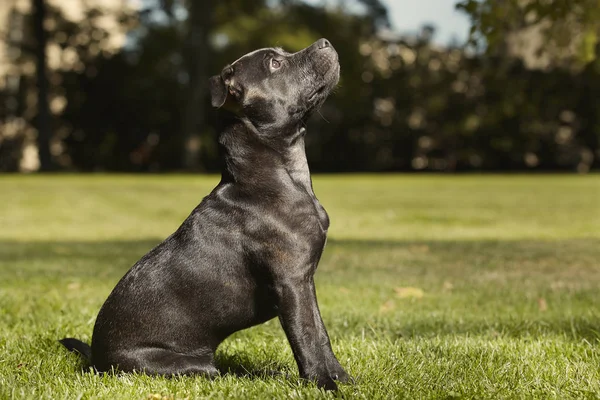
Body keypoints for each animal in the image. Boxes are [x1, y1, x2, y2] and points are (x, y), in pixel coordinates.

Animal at [58, 38, 350, 390]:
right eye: (274, 64)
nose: (324, 42)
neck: (282, 177)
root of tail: (96, 359)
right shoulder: (291, 283)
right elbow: (306, 337)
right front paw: (325, 386)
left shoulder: (305, 282)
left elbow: (321, 334)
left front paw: (343, 379)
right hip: (193, 365)